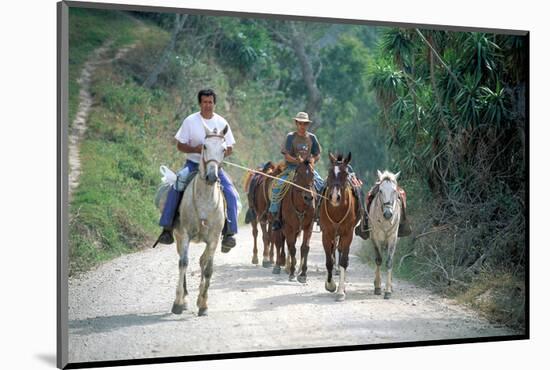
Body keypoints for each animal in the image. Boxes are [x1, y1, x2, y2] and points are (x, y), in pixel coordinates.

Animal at [161, 123, 230, 316]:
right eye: (204, 146)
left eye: (224, 149)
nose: (212, 176)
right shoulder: (185, 234)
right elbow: (183, 263)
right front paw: (178, 303)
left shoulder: (213, 238)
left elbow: (208, 269)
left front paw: (203, 305)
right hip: (177, 236)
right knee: (182, 259)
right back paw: (184, 299)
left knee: (202, 261)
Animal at [320, 152, 362, 300]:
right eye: (329, 172)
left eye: (345, 173)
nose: (334, 197)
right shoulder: (326, 233)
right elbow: (329, 261)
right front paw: (330, 285)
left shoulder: (347, 233)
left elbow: (343, 261)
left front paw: (340, 291)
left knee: (344, 254)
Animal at [368, 169, 404, 300]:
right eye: (380, 190)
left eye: (394, 191)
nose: (388, 213)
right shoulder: (375, 238)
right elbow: (378, 260)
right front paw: (378, 287)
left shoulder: (393, 239)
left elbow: (389, 262)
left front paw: (388, 291)